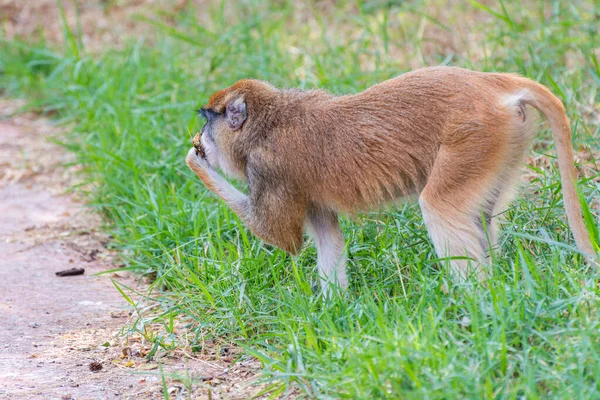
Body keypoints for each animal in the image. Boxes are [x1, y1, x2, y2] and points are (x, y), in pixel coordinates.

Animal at [186, 65, 596, 290]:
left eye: (209, 118)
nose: (201, 134)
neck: (268, 122)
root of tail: (492, 84)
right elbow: (328, 240)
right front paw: (334, 314)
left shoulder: (270, 169)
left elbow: (282, 238)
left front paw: (195, 160)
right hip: (503, 140)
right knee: (480, 214)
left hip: (475, 136)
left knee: (439, 206)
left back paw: (473, 302)